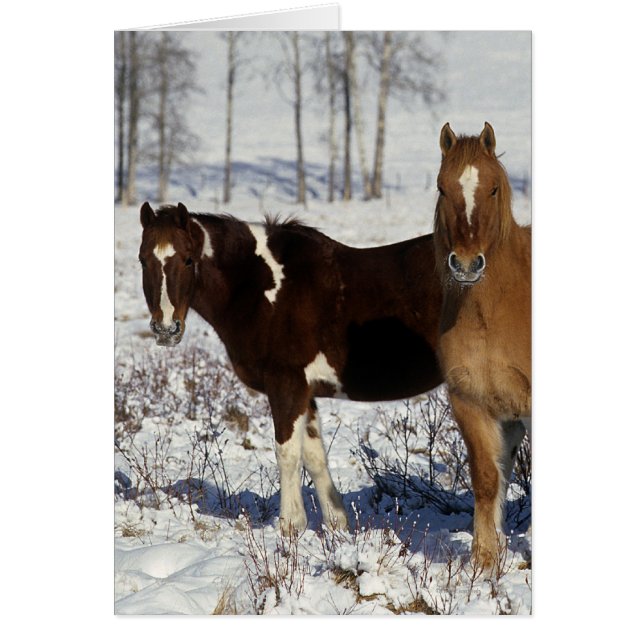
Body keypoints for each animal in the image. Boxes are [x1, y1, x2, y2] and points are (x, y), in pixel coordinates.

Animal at [138, 202, 445, 533]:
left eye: (188, 259)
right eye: (142, 260)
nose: (166, 329)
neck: (260, 288)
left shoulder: (286, 384)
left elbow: (287, 452)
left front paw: (289, 525)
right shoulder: (305, 391)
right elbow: (314, 455)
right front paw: (335, 525)